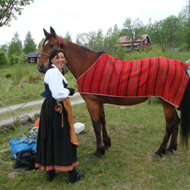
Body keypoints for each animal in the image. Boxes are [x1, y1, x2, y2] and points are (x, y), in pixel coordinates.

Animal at [37, 26, 190, 158]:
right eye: (43, 45)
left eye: (51, 45)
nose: (40, 67)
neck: (87, 65)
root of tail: (180, 65)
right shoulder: (99, 102)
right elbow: (103, 121)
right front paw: (106, 143)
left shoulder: (91, 102)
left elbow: (96, 125)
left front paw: (99, 150)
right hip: (170, 101)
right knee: (176, 122)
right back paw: (171, 148)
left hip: (166, 103)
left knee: (170, 125)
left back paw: (160, 150)